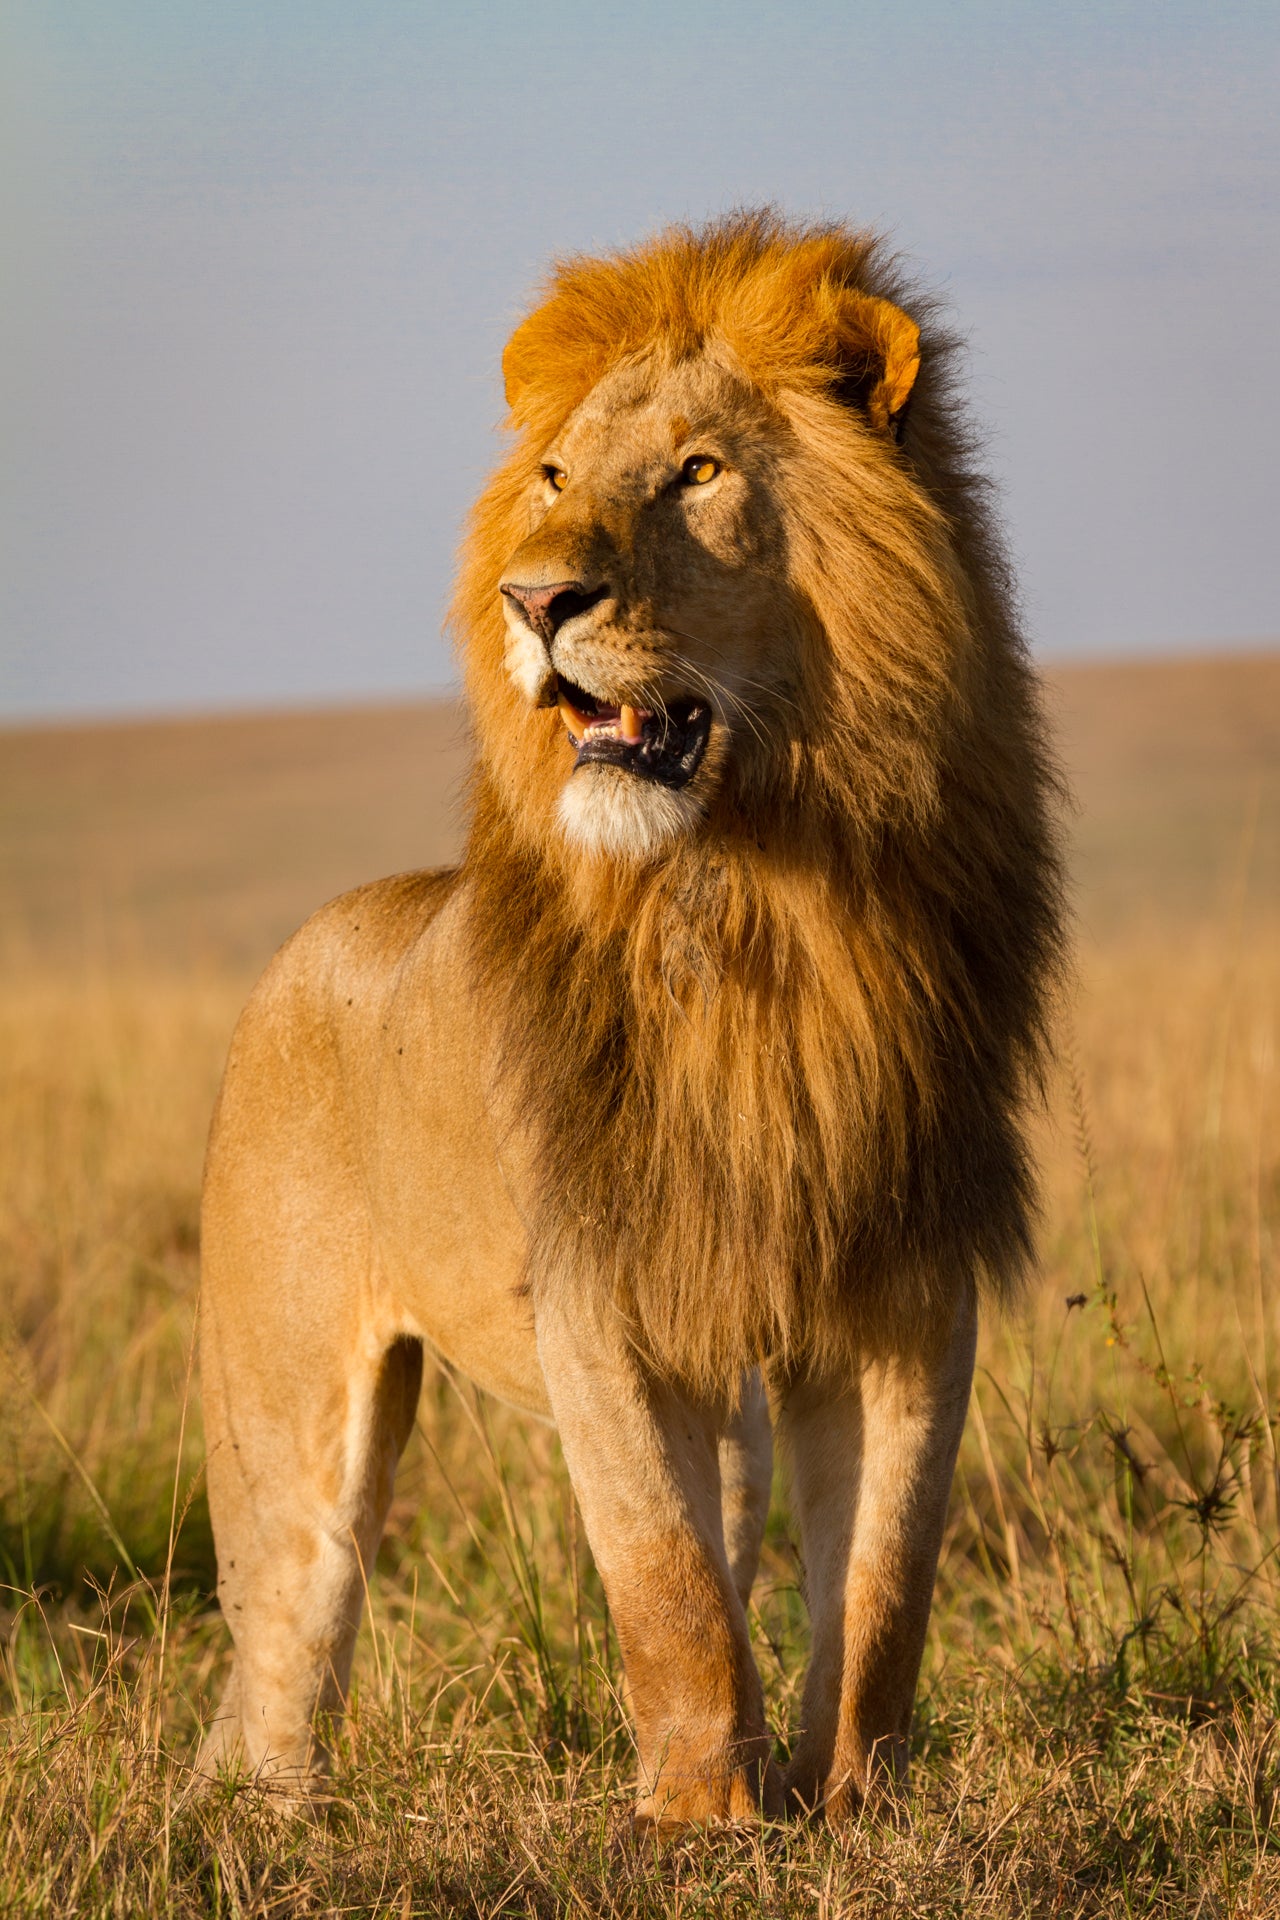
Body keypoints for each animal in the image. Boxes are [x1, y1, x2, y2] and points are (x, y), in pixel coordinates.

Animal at [197, 211, 1065, 1827]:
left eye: (697, 474)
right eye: (551, 480)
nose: (535, 602)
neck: (751, 897)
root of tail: (308, 938)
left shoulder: (904, 1277)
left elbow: (884, 1581)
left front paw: (854, 1806)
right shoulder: (595, 1290)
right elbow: (662, 1580)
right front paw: (701, 1821)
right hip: (287, 1446)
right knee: (284, 1655)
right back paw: (277, 1828)